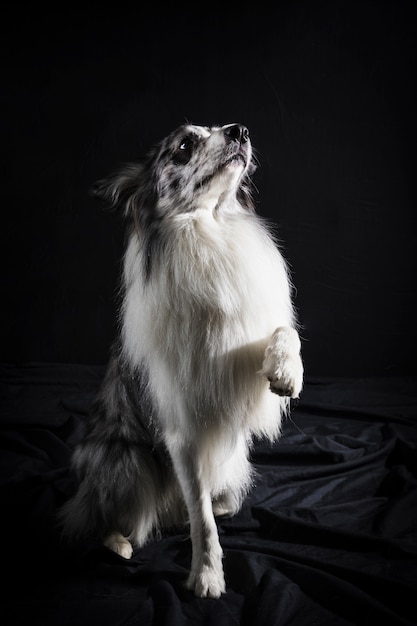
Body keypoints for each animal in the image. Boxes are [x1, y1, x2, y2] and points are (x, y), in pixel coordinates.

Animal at [60, 122, 300, 596]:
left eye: (220, 128)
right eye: (185, 145)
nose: (240, 130)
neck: (208, 231)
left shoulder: (244, 339)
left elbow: (285, 331)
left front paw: (286, 370)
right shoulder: (182, 429)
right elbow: (201, 519)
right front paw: (207, 574)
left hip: (232, 464)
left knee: (215, 502)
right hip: (124, 461)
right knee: (103, 515)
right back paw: (118, 542)